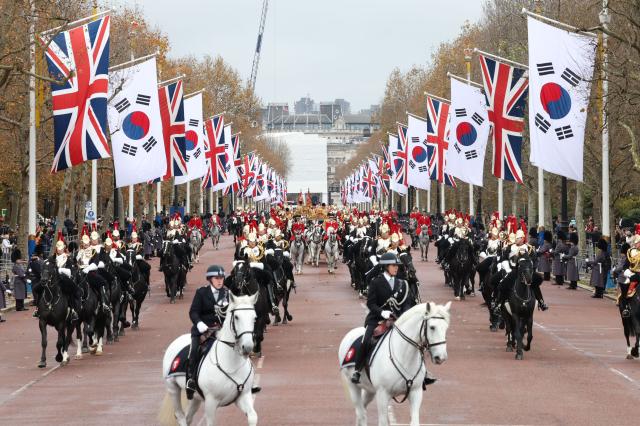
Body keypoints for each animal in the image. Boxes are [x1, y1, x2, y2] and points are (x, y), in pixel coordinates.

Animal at [160, 292, 258, 426]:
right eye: (237, 317)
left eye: (254, 318)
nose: (247, 347)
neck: (231, 364)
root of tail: (176, 340)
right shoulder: (211, 402)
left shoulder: (243, 396)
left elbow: (253, 417)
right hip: (173, 389)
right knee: (180, 416)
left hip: (195, 397)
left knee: (188, 417)